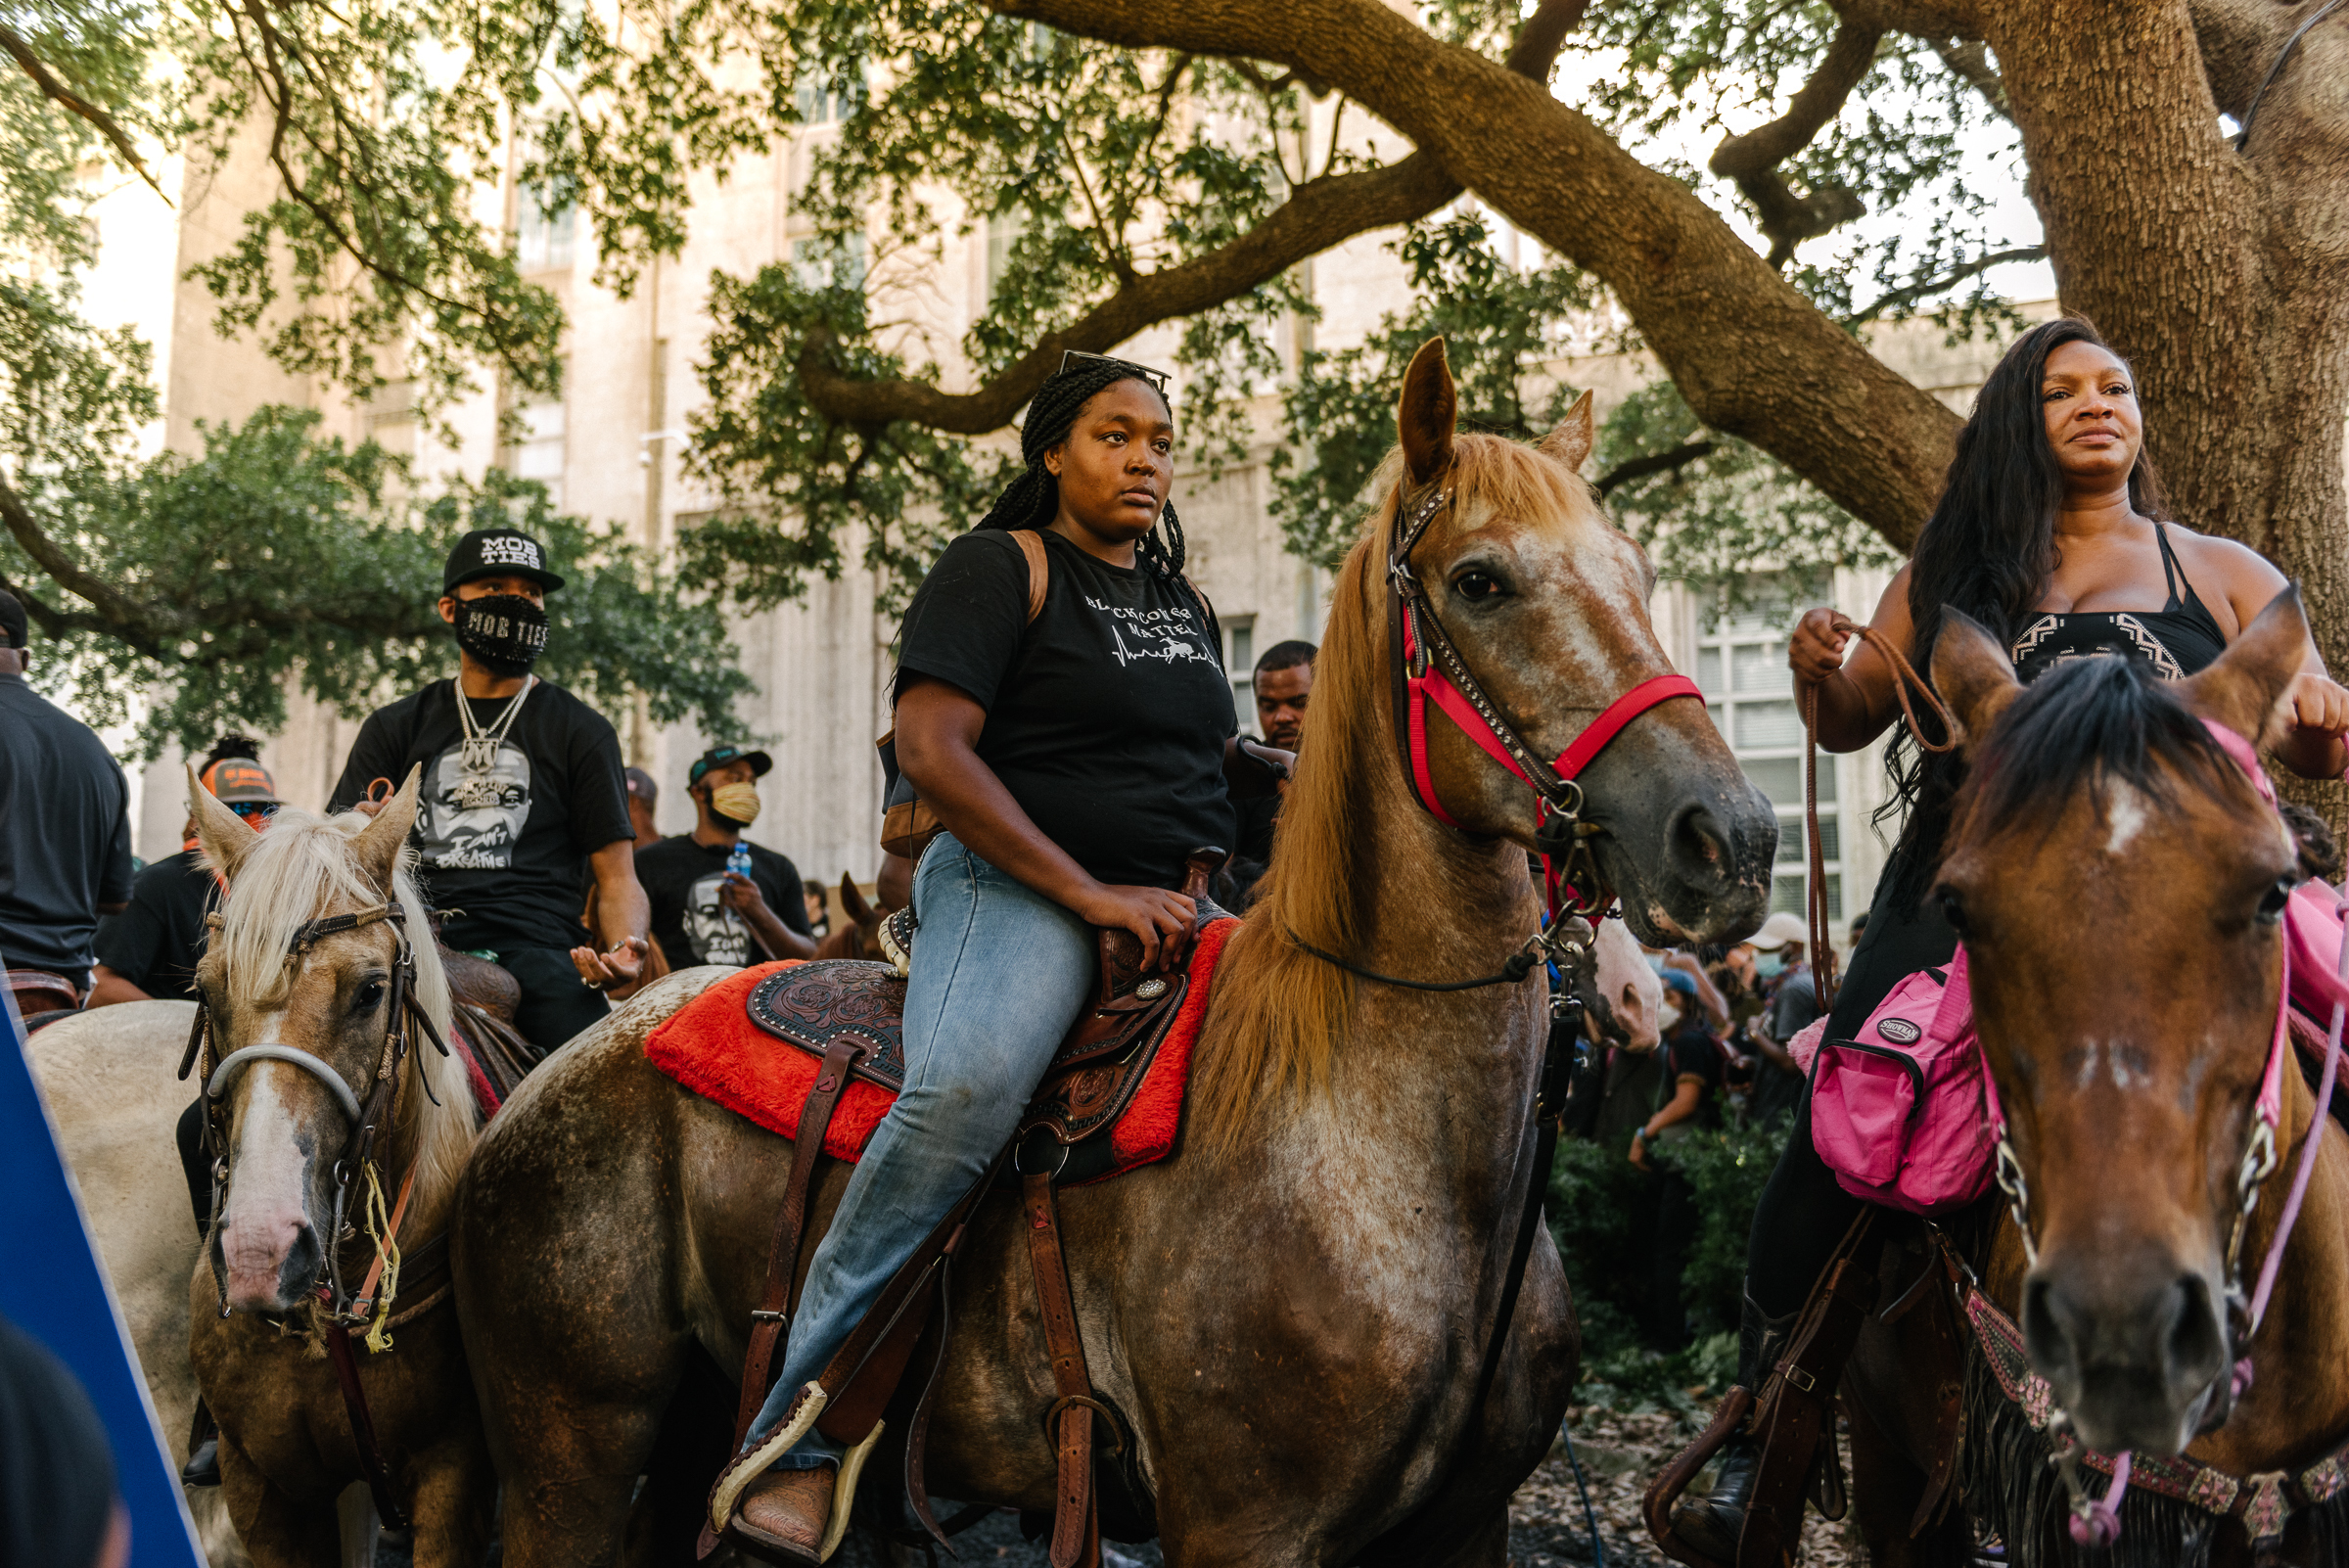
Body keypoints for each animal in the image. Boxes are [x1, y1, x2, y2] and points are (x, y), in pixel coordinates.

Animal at [453, 343, 1775, 1568]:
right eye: (1481, 580)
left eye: (1640, 575)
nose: (1734, 840)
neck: (1381, 1151)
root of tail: (561, 1065)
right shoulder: (1246, 1528)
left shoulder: (1464, 1525)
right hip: (572, 1443)